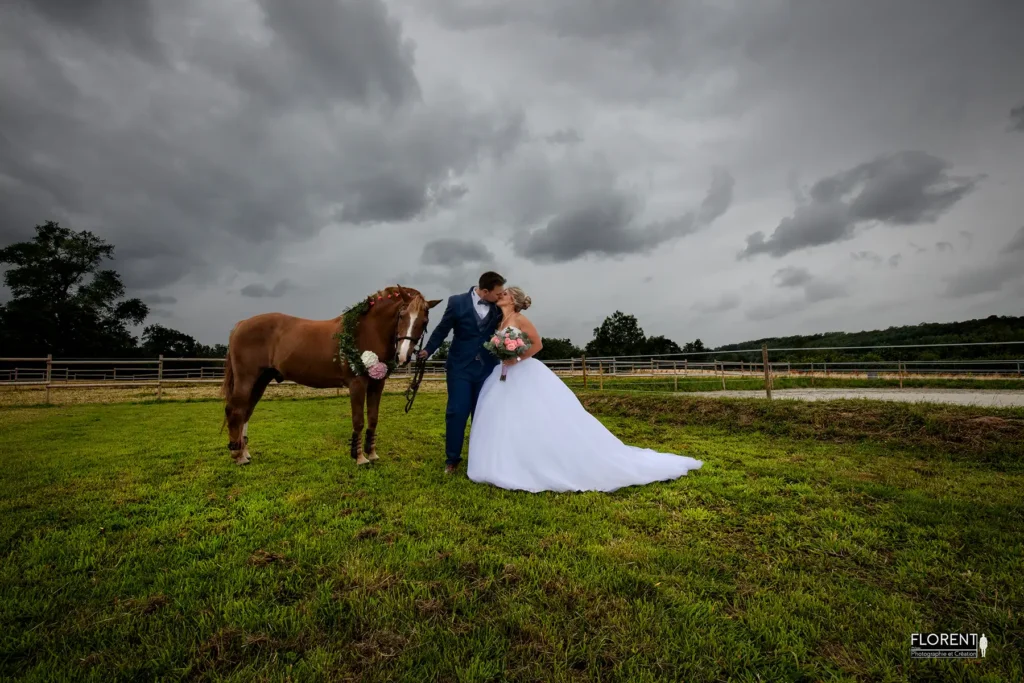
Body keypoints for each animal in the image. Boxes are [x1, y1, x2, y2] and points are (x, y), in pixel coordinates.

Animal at [222, 286, 438, 466]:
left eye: (424, 321)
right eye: (402, 316)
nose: (403, 356)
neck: (365, 330)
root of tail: (241, 324)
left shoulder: (377, 384)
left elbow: (373, 419)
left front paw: (372, 454)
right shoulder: (357, 384)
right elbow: (358, 420)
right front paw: (359, 458)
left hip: (261, 380)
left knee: (246, 411)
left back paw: (244, 452)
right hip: (246, 379)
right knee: (236, 411)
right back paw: (238, 455)